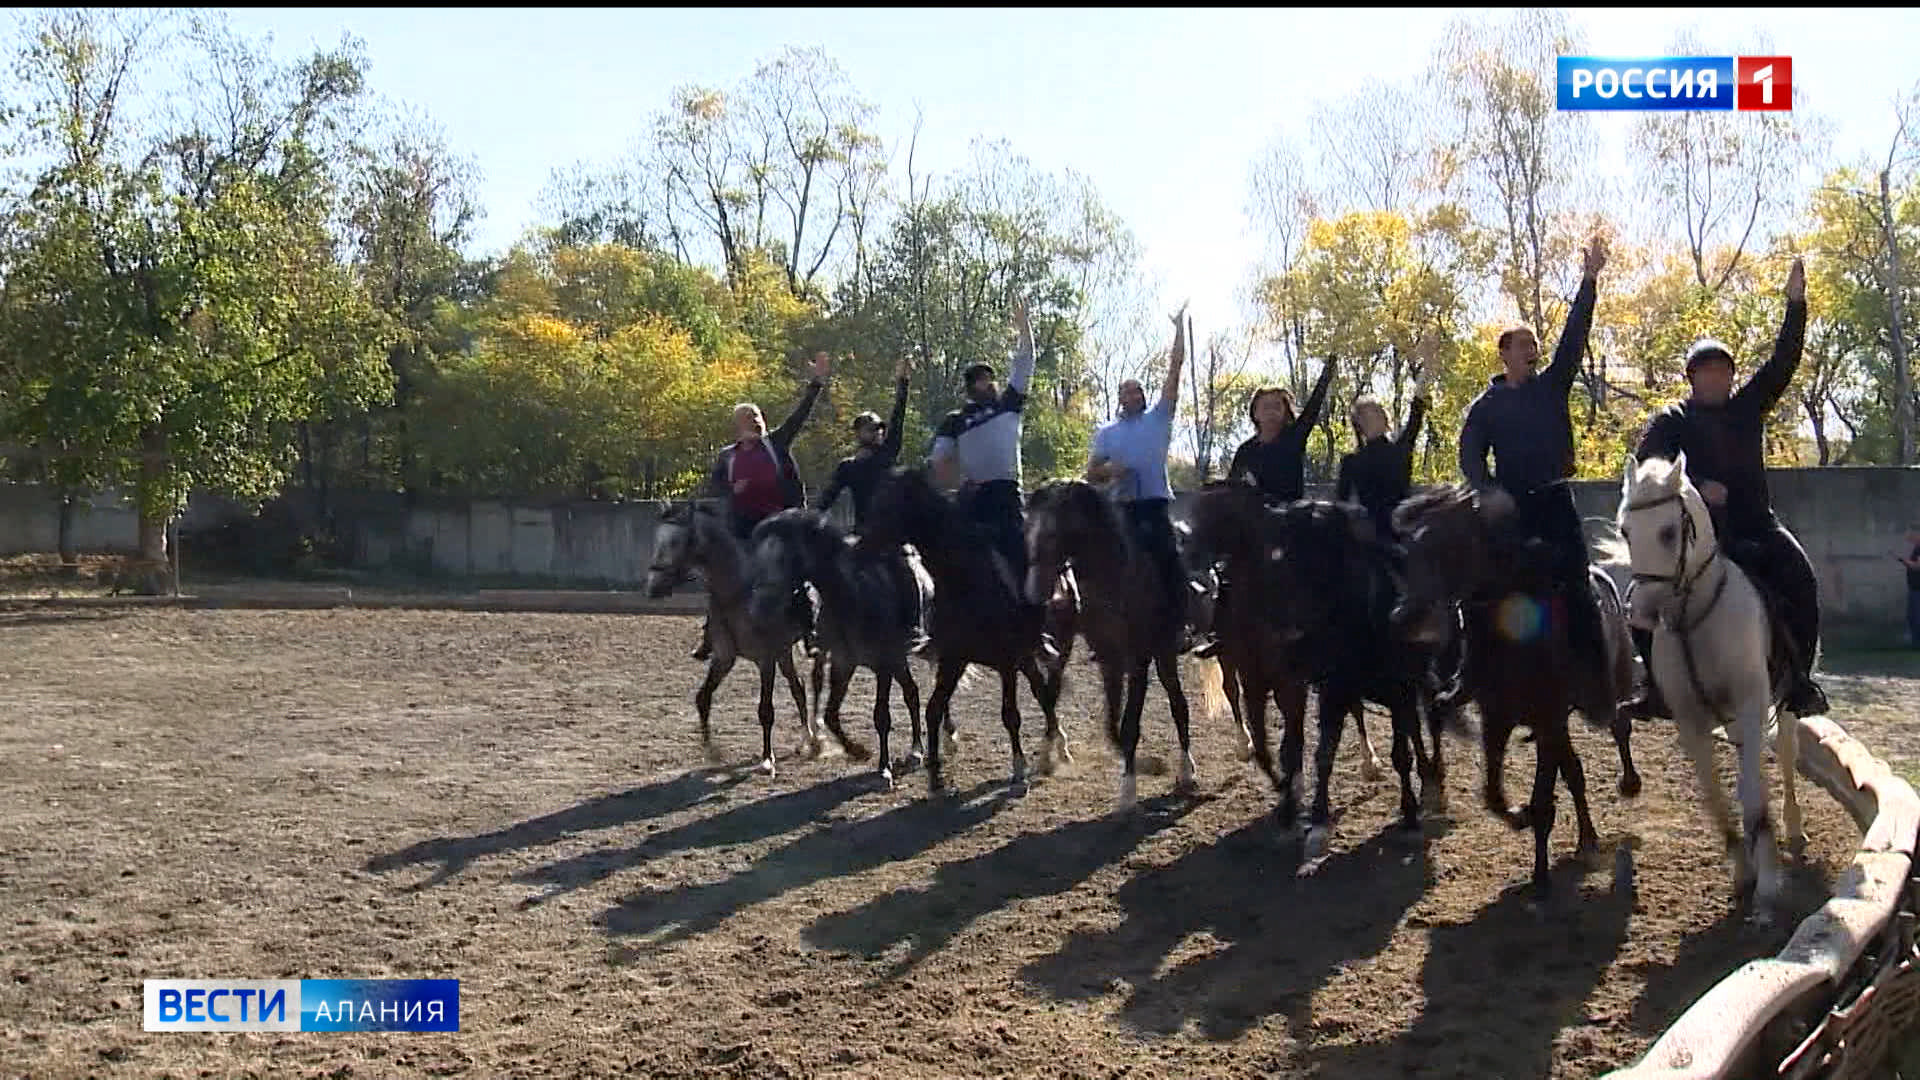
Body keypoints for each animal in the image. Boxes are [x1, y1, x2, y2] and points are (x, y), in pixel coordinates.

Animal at [744, 507, 933, 787]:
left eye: (782, 557)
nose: (758, 611)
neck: (850, 596)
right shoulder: (844, 662)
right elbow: (832, 714)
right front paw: (858, 751)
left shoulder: (884, 663)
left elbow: (881, 716)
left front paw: (884, 768)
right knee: (911, 692)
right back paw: (914, 751)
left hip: (898, 657)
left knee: (911, 694)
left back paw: (920, 750)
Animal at [864, 465, 1075, 791]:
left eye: (887, 505)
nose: (858, 547)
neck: (967, 582)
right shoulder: (954, 659)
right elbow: (933, 709)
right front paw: (935, 775)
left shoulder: (1006, 662)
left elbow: (1010, 715)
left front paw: (1019, 770)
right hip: (1024, 656)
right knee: (1041, 690)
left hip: (1047, 649)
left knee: (1047, 693)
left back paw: (1058, 749)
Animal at [1021, 478, 1198, 807]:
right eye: (1027, 531)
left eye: (1053, 533)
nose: (1033, 593)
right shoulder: (1108, 658)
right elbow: (1112, 724)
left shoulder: (1139, 659)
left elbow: (1129, 725)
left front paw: (1129, 789)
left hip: (1165, 654)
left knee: (1179, 706)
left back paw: (1187, 771)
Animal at [1390, 484, 1643, 903]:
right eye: (1411, 552)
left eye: (1449, 545)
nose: (1404, 620)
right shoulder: (1498, 719)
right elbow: (1495, 794)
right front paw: (1519, 815)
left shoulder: (1548, 719)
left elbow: (1543, 799)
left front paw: (1540, 876)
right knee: (1574, 772)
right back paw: (1587, 838)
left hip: (1613, 682)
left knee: (1620, 725)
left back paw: (1629, 784)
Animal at [1612, 449, 1804, 922]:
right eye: (1626, 531)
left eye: (1668, 531)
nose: (1643, 613)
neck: (1693, 617)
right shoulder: (1690, 718)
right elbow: (1716, 798)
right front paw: (1743, 873)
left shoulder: (1753, 703)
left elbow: (1751, 795)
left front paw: (1767, 887)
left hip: (1787, 703)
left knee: (1787, 753)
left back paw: (1793, 828)